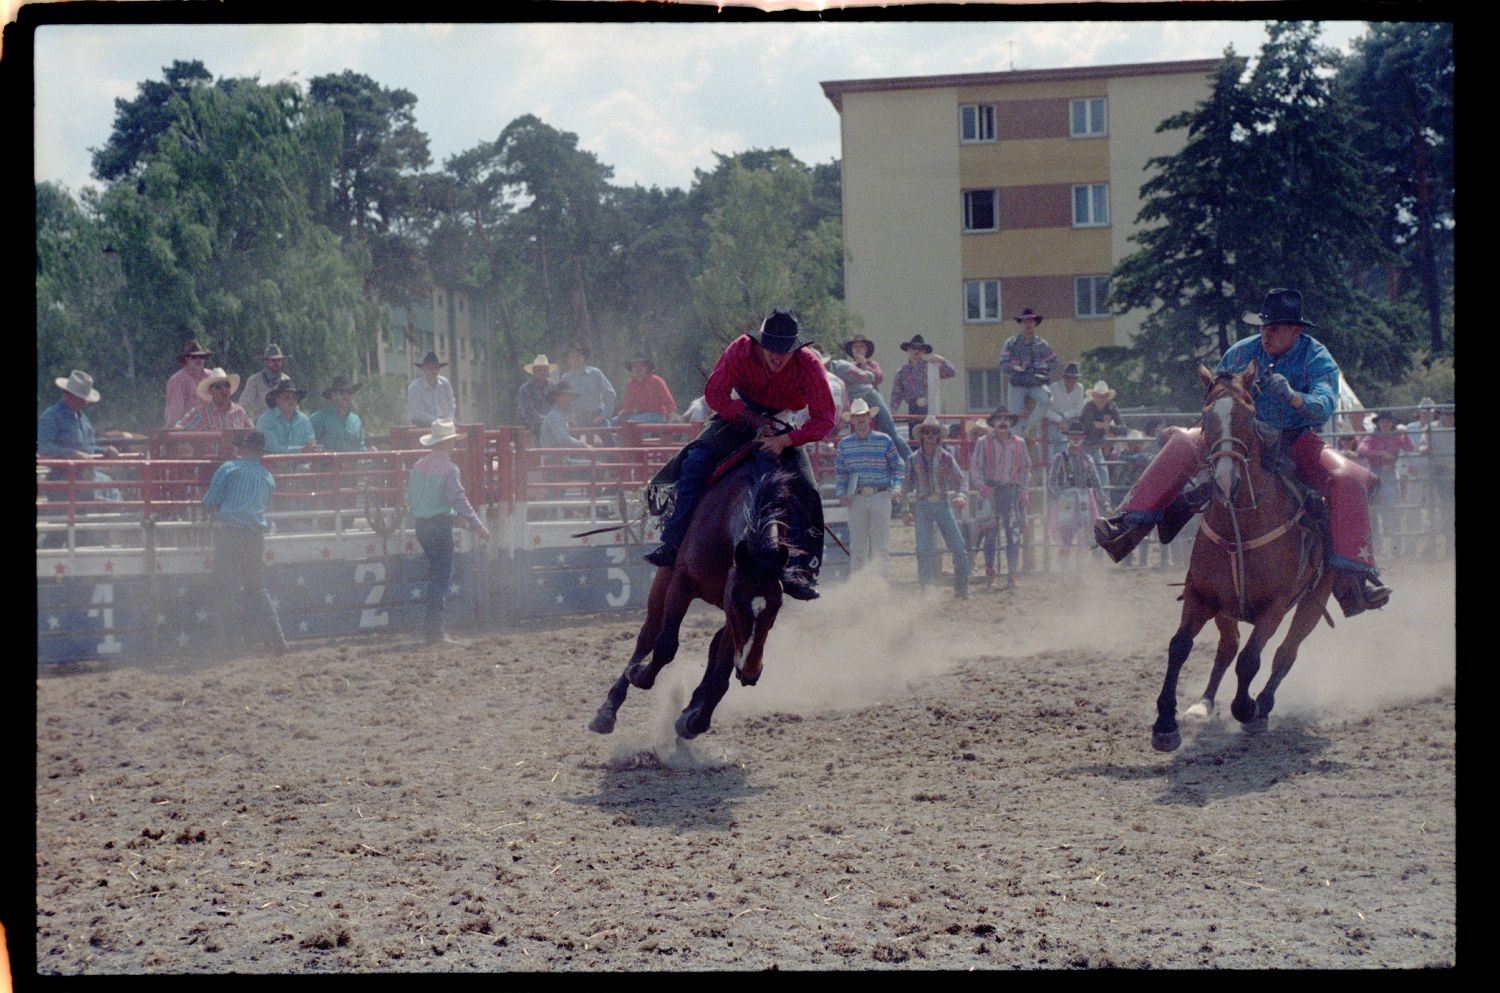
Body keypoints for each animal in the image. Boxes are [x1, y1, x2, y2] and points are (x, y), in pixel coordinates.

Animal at [585, 465, 798, 738]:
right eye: (739, 604)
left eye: (776, 607)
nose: (751, 672)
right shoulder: (685, 583)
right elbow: (665, 645)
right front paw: (638, 674)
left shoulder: (728, 609)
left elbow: (721, 670)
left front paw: (695, 721)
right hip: (663, 580)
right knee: (648, 635)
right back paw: (608, 711)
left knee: (715, 646)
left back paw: (693, 706)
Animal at [1146, 367, 1338, 756]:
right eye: (1206, 416)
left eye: (1250, 415)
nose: (1224, 480)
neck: (1244, 523)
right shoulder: (1200, 594)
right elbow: (1179, 646)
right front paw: (1165, 724)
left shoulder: (1276, 605)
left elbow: (1252, 659)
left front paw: (1246, 708)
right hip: (1226, 608)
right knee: (1227, 647)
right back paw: (1203, 704)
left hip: (1313, 600)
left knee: (1285, 653)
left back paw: (1262, 705)